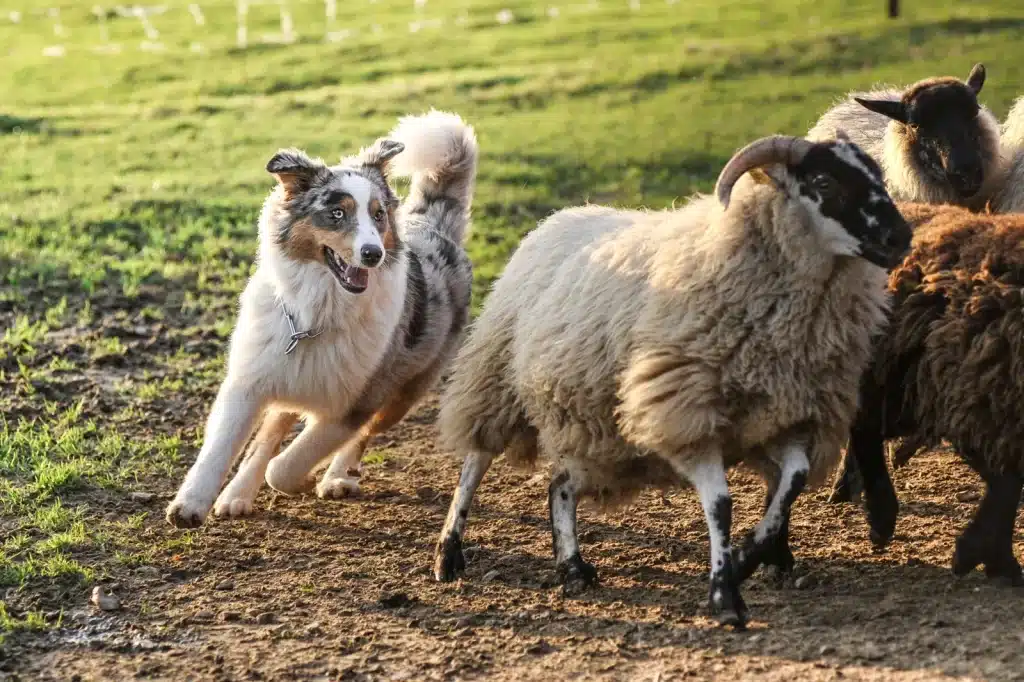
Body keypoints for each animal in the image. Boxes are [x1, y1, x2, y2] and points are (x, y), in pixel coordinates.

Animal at [165, 111, 477, 524]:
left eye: (378, 215)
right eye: (337, 213)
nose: (373, 254)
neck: (317, 311)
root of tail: (436, 229)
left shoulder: (355, 404)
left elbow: (288, 464)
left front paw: (301, 479)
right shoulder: (250, 379)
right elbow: (224, 447)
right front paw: (190, 505)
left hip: (403, 393)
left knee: (360, 436)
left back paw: (337, 477)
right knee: (268, 435)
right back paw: (237, 495)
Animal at [428, 131, 909, 626]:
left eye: (876, 173)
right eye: (824, 182)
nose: (901, 236)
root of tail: (556, 219)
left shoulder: (783, 416)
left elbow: (791, 482)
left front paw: (749, 558)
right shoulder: (685, 411)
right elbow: (720, 504)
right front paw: (725, 595)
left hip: (602, 433)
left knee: (559, 485)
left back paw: (573, 566)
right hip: (495, 377)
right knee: (476, 462)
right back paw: (449, 553)